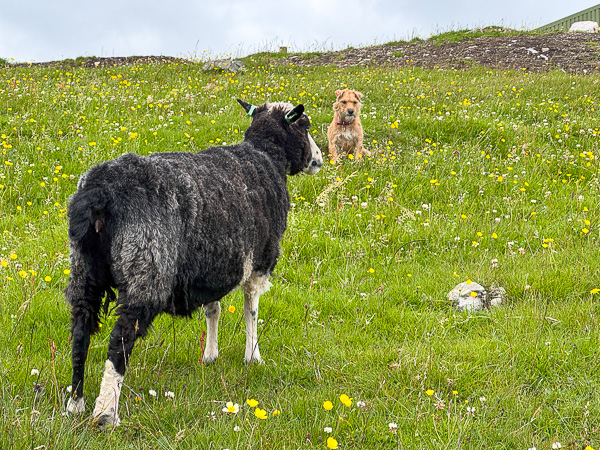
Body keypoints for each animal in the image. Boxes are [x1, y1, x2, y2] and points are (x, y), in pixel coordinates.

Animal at [65, 99, 323, 427]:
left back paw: (76, 404)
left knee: (80, 332)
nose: (319, 159)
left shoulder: (213, 263)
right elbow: (251, 309)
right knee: (119, 341)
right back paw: (106, 413)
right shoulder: (259, 262)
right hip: (147, 268)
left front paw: (210, 356)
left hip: (83, 269)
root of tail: (99, 193)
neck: (265, 155)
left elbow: (213, 309)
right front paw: (253, 356)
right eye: (305, 125)